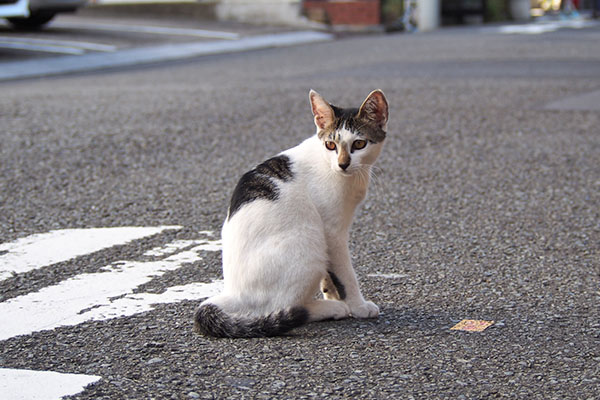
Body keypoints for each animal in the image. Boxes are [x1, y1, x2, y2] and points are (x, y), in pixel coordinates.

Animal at [193, 88, 390, 338]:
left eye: (359, 144)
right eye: (330, 145)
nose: (343, 164)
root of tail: (233, 293)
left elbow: (330, 274)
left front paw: (331, 293)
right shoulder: (332, 232)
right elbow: (346, 275)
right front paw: (357, 305)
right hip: (308, 242)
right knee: (286, 306)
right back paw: (330, 309)